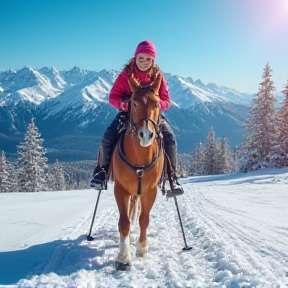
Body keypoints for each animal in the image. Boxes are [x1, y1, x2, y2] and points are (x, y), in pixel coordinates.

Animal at [111, 70, 163, 270]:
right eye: (133, 103)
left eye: (156, 103)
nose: (146, 135)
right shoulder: (120, 190)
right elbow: (124, 222)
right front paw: (123, 257)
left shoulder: (150, 191)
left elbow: (144, 219)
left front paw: (142, 247)